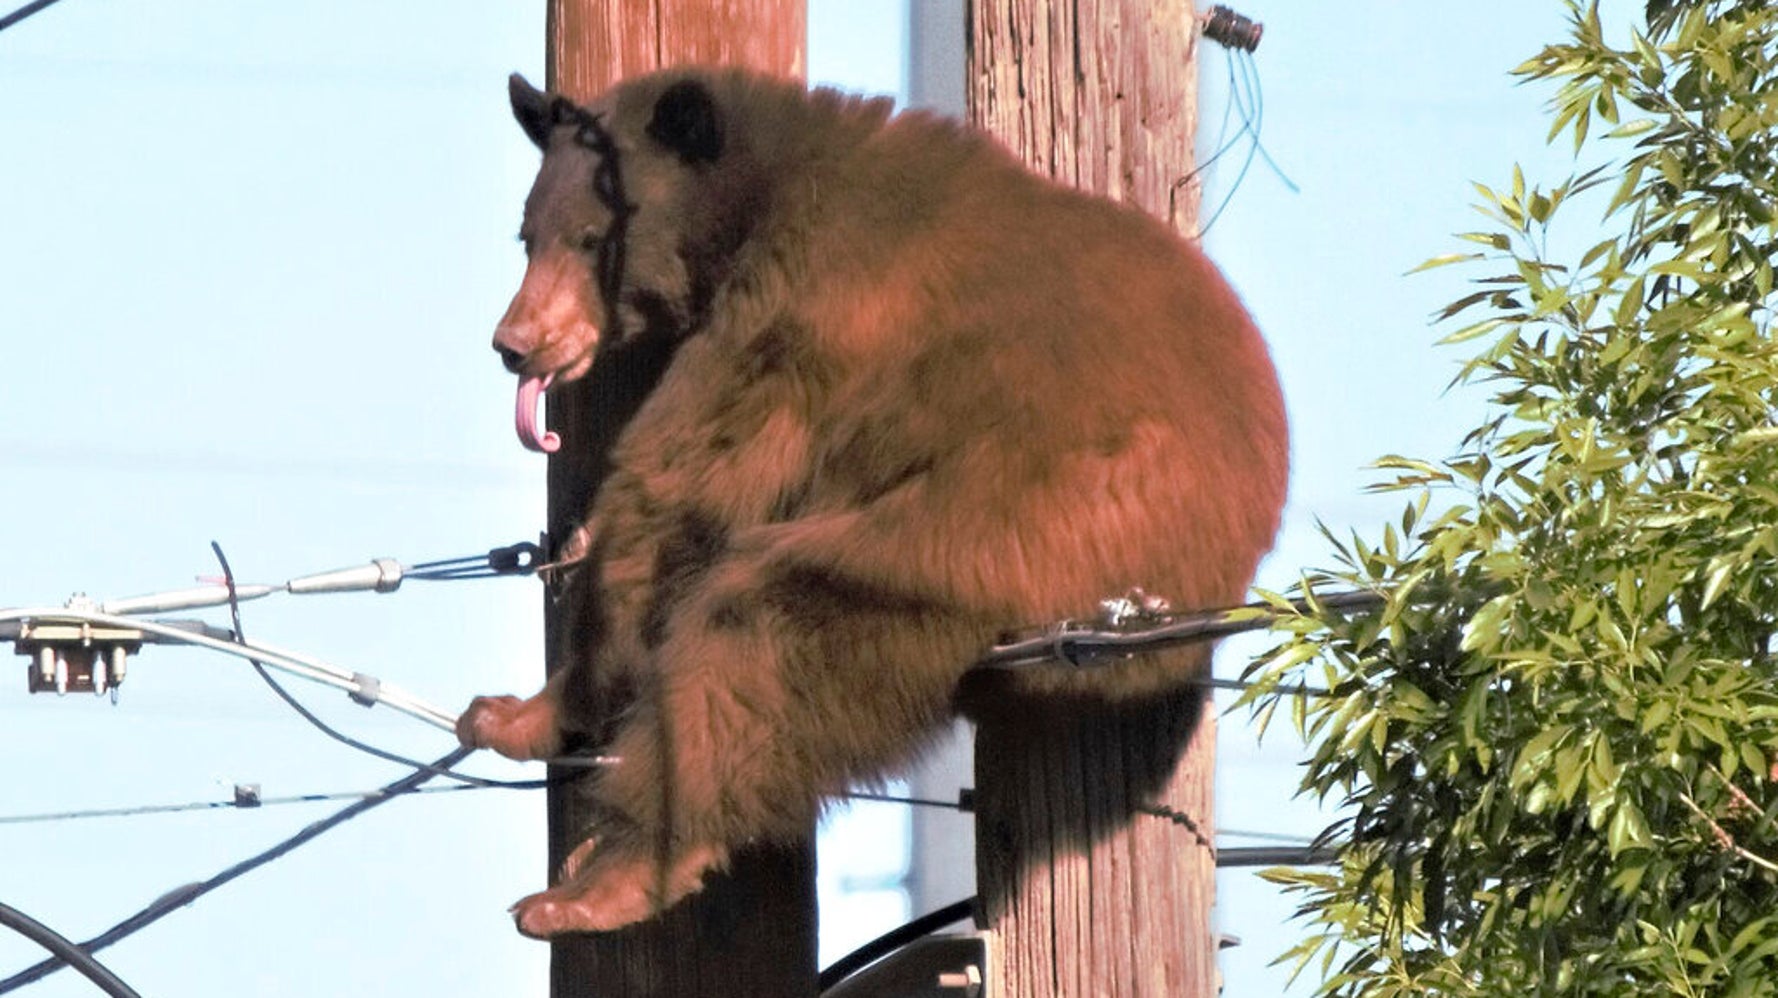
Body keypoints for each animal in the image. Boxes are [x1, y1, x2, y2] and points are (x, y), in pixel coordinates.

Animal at [457, 67, 1289, 938]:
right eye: (527, 236)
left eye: (591, 238)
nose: (515, 342)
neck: (757, 195)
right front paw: (506, 712)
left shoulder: (801, 314)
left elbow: (683, 483)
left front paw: (525, 711)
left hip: (1020, 525)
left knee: (762, 637)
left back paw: (602, 883)